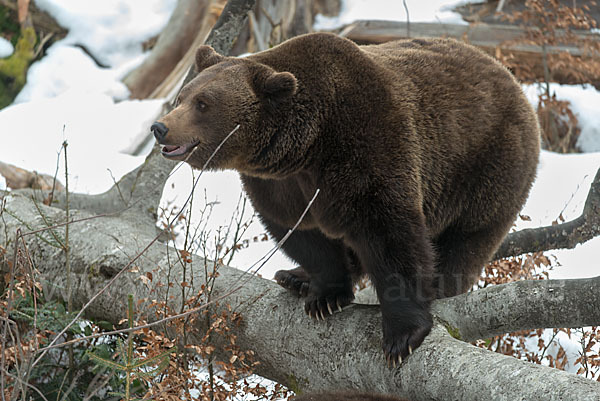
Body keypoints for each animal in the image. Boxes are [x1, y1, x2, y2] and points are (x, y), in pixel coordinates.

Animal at [152, 31, 540, 362]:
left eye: (203, 103)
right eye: (182, 97)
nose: (160, 127)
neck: (307, 146)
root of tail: (509, 77)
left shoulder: (367, 146)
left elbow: (390, 234)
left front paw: (402, 334)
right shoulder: (280, 185)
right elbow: (302, 234)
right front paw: (323, 294)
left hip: (486, 169)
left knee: (466, 242)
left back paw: (443, 284)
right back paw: (293, 276)